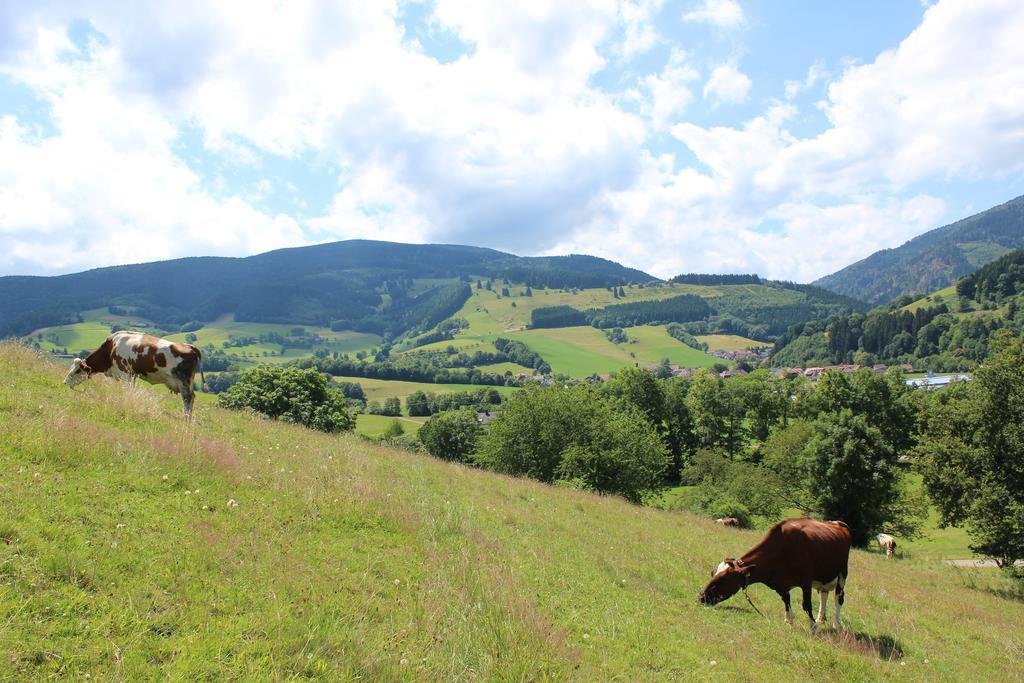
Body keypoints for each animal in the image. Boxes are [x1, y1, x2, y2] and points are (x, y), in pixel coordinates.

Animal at [65, 329, 204, 419]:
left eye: (77, 370)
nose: (65, 382)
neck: (111, 348)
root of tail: (191, 347)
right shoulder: (132, 375)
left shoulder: (126, 373)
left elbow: (128, 390)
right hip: (188, 381)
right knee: (192, 397)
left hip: (183, 380)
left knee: (187, 398)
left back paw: (186, 419)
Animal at [696, 520, 847, 634]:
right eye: (712, 573)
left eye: (723, 579)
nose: (701, 597)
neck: (781, 551)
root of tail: (837, 523)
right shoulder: (780, 584)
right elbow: (786, 600)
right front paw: (789, 620)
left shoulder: (806, 581)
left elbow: (807, 604)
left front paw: (813, 626)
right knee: (824, 594)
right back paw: (821, 618)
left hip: (842, 573)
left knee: (838, 598)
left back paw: (837, 624)